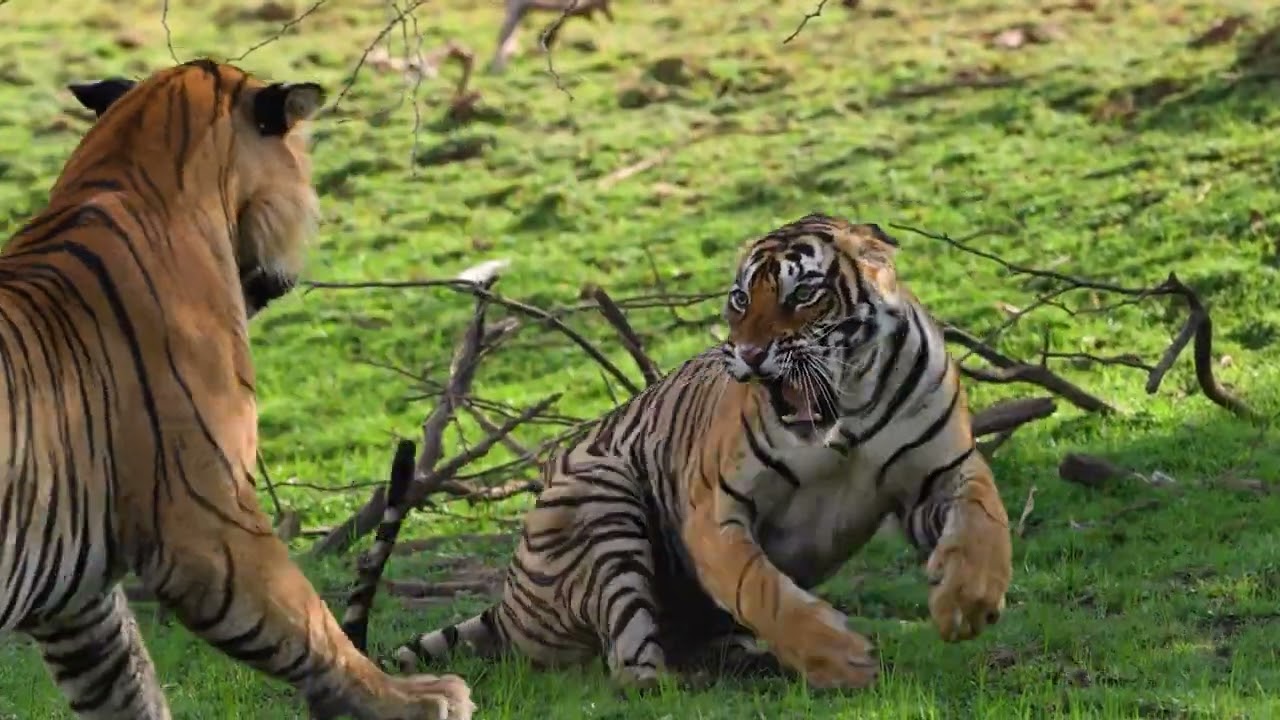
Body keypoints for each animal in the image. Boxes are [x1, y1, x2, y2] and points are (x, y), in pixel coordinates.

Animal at [345, 213, 1013, 691]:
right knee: (631, 672)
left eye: (803, 297)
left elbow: (986, 522)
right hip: (601, 497)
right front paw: (841, 659)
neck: (847, 413)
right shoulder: (714, 512)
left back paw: (750, 663)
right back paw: (687, 679)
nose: (748, 355)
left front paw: (966, 603)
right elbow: (761, 589)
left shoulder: (942, 473)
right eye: (741, 300)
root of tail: (506, 603)